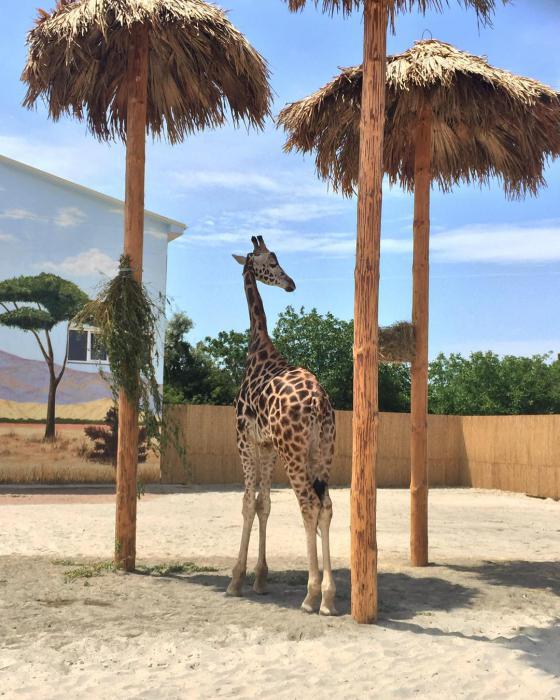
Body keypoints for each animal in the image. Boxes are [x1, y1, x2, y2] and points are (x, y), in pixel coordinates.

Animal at [226, 237, 336, 616]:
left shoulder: (245, 439)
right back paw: (329, 596)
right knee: (326, 506)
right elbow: (265, 504)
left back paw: (312, 595)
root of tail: (318, 403)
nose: (290, 284)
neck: (259, 349)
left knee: (308, 505)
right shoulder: (267, 444)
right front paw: (260, 579)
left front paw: (236, 580)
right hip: (323, 451)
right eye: (271, 262)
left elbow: (248, 503)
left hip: (295, 452)